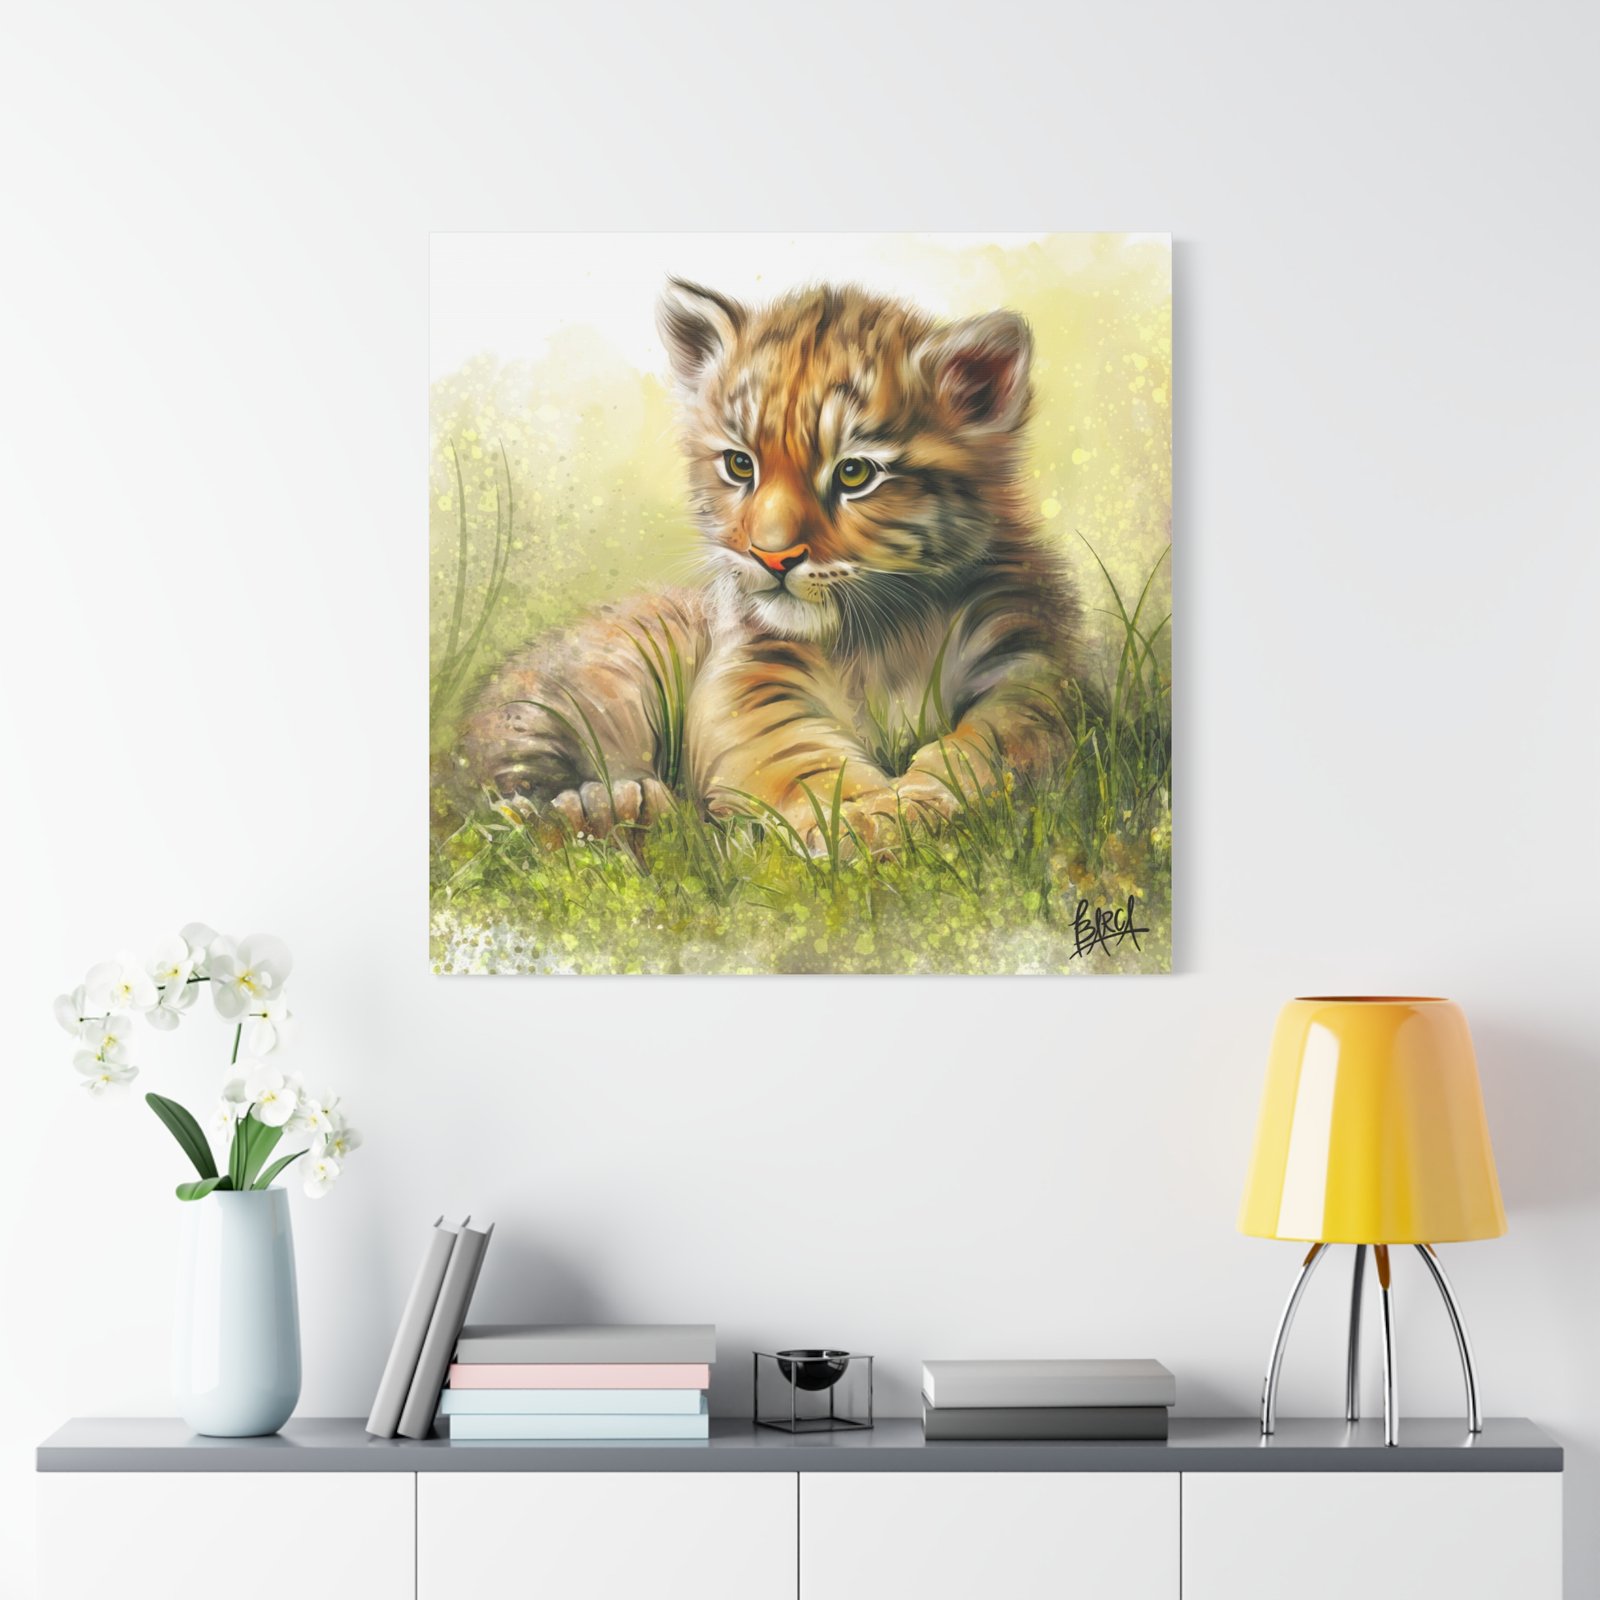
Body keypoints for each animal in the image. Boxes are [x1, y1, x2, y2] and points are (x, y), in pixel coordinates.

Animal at [458, 277, 1082, 855]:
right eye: (740, 465)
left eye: (855, 473)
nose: (771, 556)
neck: (884, 634)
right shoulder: (752, 675)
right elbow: (798, 755)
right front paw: (863, 820)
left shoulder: (1026, 664)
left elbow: (996, 740)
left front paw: (917, 803)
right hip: (568, 696)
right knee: (501, 799)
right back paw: (612, 809)